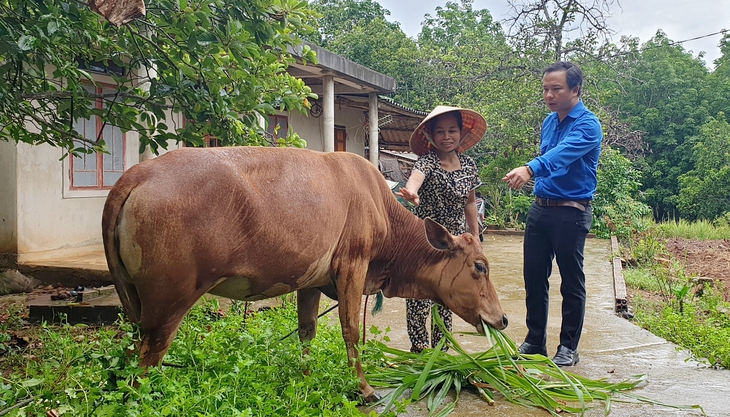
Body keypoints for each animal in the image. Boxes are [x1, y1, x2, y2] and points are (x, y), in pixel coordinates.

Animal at [102, 145, 506, 400]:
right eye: (480, 266)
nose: (501, 320)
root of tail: (136, 175)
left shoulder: (311, 281)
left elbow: (306, 332)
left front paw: (306, 379)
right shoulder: (352, 266)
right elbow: (350, 331)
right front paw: (364, 389)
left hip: (137, 305)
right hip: (169, 302)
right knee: (147, 359)